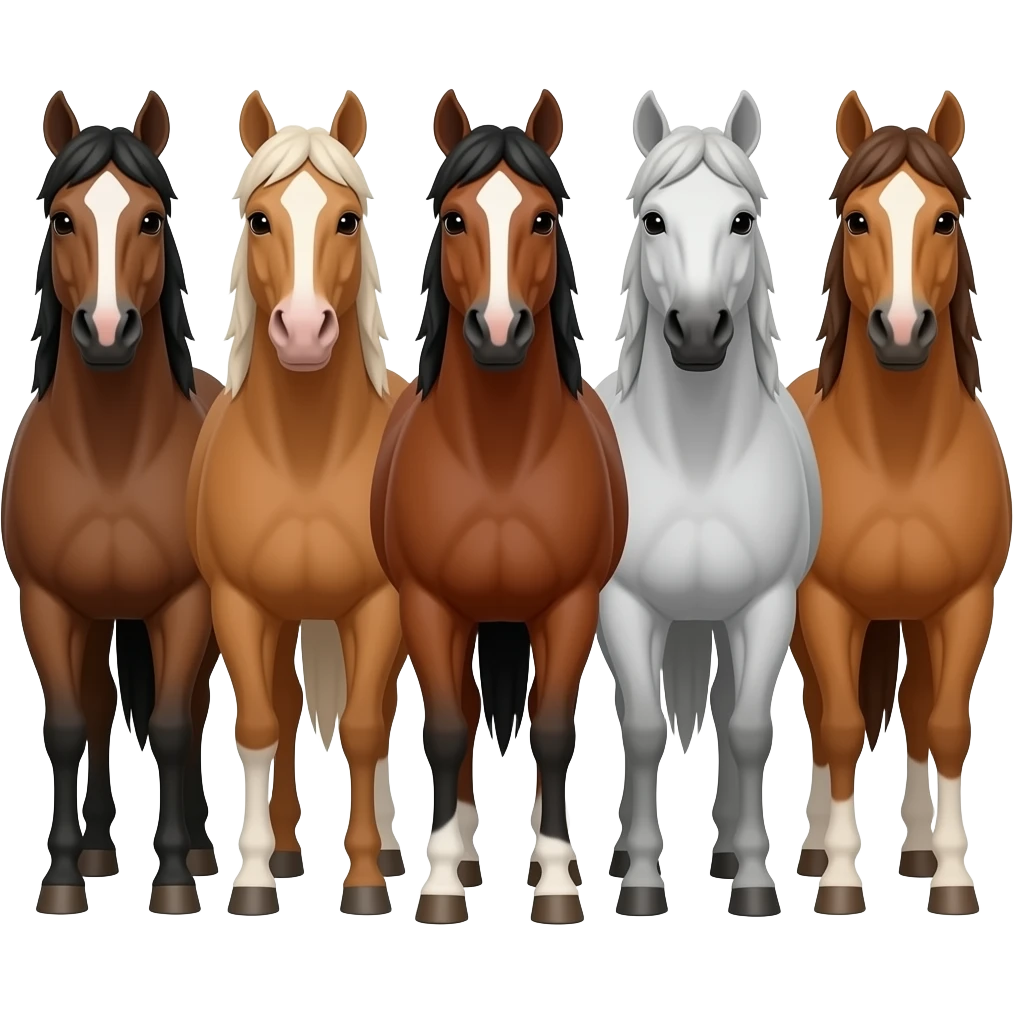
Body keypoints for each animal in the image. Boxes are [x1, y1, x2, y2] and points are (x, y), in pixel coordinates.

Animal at [3, 90, 224, 916]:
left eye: (150, 218)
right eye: (64, 218)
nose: (105, 331)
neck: (111, 455)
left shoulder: (187, 603)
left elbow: (171, 727)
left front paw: (174, 880)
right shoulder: (47, 602)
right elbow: (70, 726)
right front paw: (63, 878)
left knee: (191, 711)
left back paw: (199, 850)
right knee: (99, 711)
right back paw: (97, 848)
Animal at [186, 89, 408, 919]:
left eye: (347, 219)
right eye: (259, 219)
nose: (306, 332)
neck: (308, 454)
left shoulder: (380, 603)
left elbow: (367, 726)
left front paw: (368, 880)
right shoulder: (238, 602)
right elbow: (258, 724)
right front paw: (251, 877)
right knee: (282, 709)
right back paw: (282, 849)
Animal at [370, 88, 627, 926]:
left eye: (542, 218)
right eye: (455, 218)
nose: (500, 329)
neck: (500, 456)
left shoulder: (571, 605)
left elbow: (550, 731)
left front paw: (556, 883)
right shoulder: (427, 604)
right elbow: (449, 729)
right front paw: (442, 885)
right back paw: (465, 859)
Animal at [593, 90, 822, 920]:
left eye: (742, 220)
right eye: (654, 220)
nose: (696, 333)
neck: (696, 457)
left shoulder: (767, 605)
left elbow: (750, 728)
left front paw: (754, 880)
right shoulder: (624, 605)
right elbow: (643, 728)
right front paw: (639, 884)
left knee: (724, 708)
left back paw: (726, 850)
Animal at [788, 89, 1009, 917]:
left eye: (944, 218)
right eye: (858, 219)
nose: (904, 330)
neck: (901, 454)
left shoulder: (966, 602)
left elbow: (943, 724)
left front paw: (951, 878)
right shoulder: (825, 604)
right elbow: (841, 727)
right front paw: (841, 881)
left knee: (914, 708)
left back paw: (916, 849)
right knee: (822, 714)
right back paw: (817, 849)